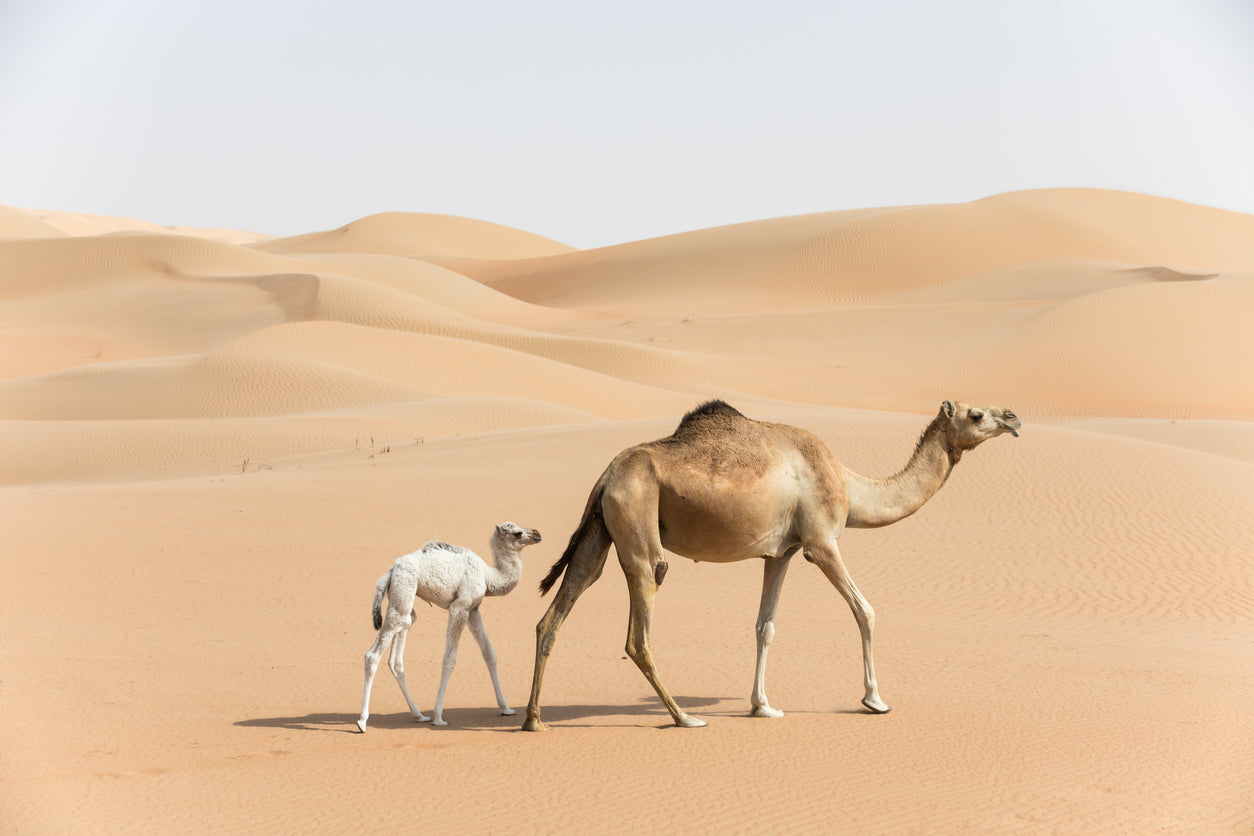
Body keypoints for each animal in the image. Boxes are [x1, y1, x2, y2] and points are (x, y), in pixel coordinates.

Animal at [358, 518, 544, 726]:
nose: (537, 534)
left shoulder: (474, 610)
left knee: (397, 655)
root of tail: (390, 571)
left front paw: (506, 708)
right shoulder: (460, 607)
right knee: (373, 655)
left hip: (402, 600)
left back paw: (419, 715)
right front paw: (439, 716)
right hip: (404, 587)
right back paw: (362, 721)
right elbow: (449, 659)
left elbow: (489, 654)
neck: (488, 576)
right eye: (517, 533)